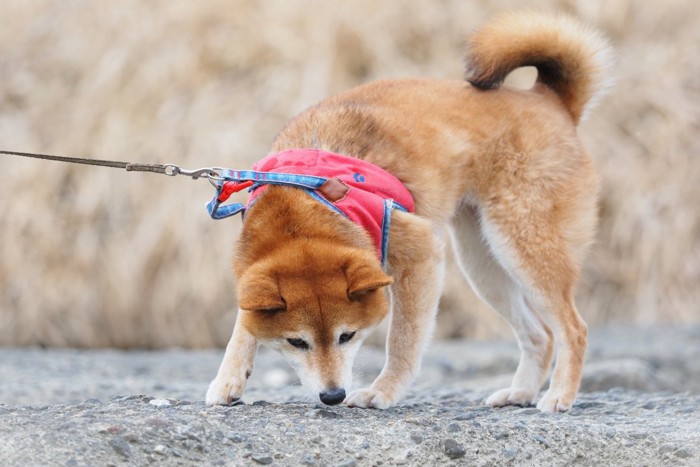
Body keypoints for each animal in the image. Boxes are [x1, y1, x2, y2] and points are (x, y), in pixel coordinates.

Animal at [206, 11, 612, 414]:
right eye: (296, 342)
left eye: (347, 336)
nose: (332, 396)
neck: (303, 204)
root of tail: (548, 100)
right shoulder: (254, 270)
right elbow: (243, 326)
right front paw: (228, 378)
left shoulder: (419, 253)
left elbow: (402, 339)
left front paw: (382, 391)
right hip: (483, 264)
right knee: (540, 334)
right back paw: (521, 392)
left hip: (522, 248)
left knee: (573, 329)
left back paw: (559, 395)